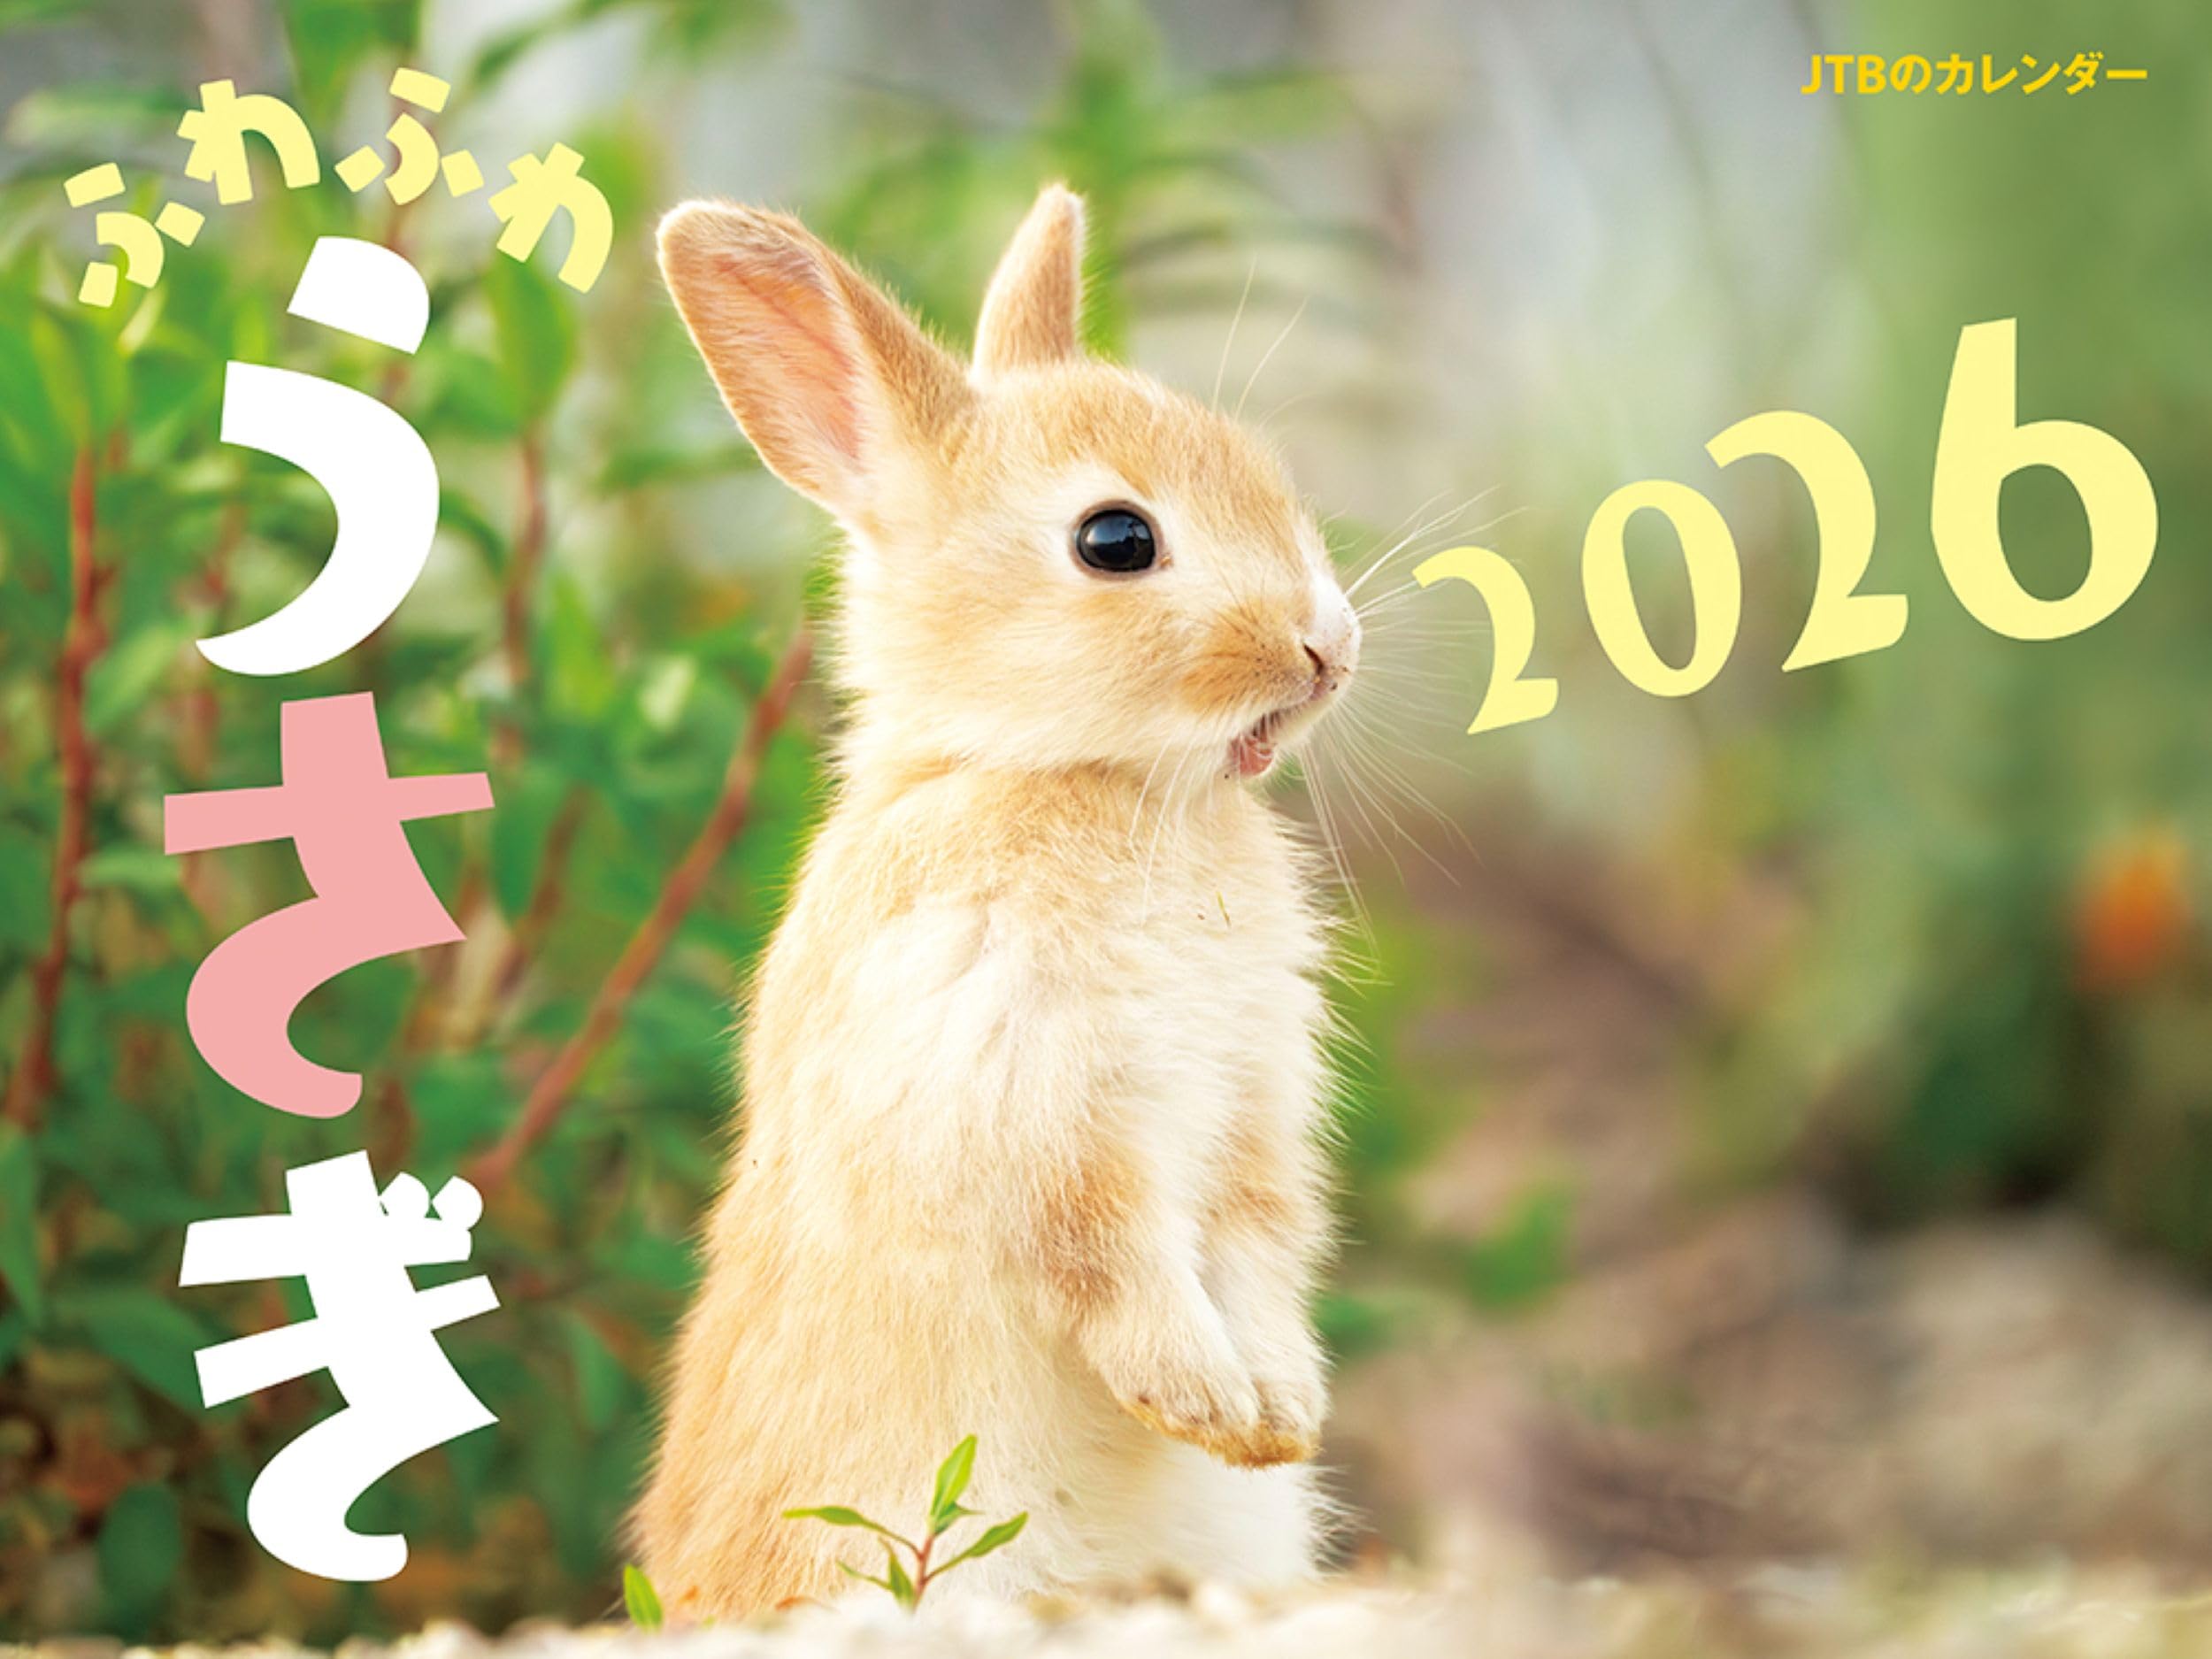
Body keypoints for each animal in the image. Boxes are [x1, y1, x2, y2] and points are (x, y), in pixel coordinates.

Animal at [634, 182, 1361, 1619]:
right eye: (1116, 539)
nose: (1328, 648)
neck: (1068, 774)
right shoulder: (1027, 1100)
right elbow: (1112, 1257)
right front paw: (1206, 1405)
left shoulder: (1252, 1118)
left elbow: (1256, 1251)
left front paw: (1278, 1416)